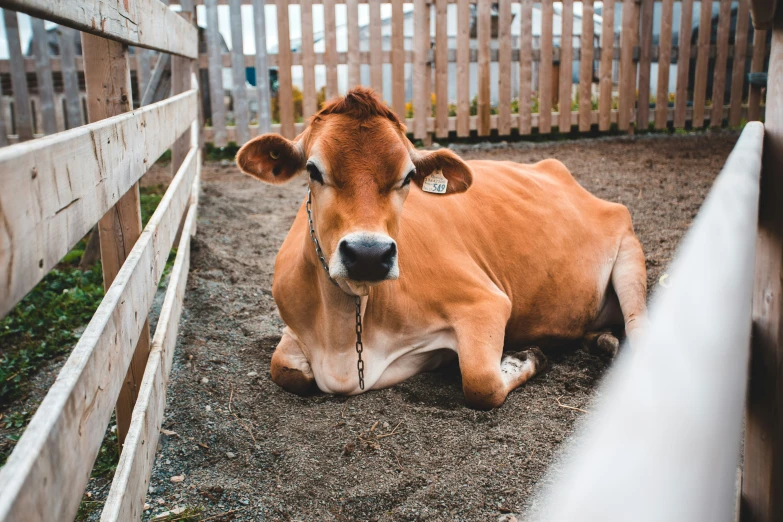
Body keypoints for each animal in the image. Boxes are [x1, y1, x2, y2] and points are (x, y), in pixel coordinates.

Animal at [234, 87, 648, 408]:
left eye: (407, 177)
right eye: (313, 170)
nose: (368, 254)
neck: (344, 334)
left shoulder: (484, 302)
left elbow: (482, 383)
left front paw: (526, 356)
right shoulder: (293, 329)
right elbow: (284, 371)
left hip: (628, 247)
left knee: (638, 328)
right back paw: (603, 340)